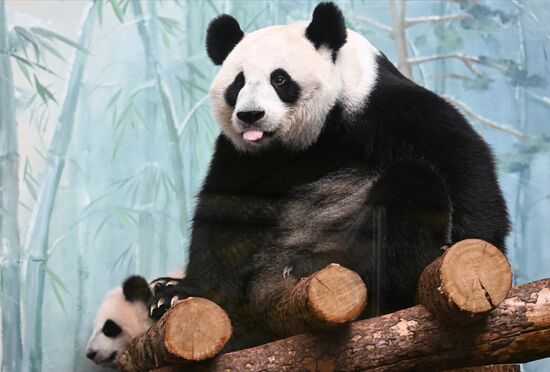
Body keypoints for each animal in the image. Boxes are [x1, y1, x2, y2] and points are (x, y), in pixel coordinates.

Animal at [149, 2, 512, 352]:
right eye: (238, 83)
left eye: (279, 80)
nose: (251, 115)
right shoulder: (243, 154)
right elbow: (225, 218)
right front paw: (180, 293)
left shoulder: (382, 106)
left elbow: (463, 160)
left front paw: (466, 245)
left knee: (413, 185)